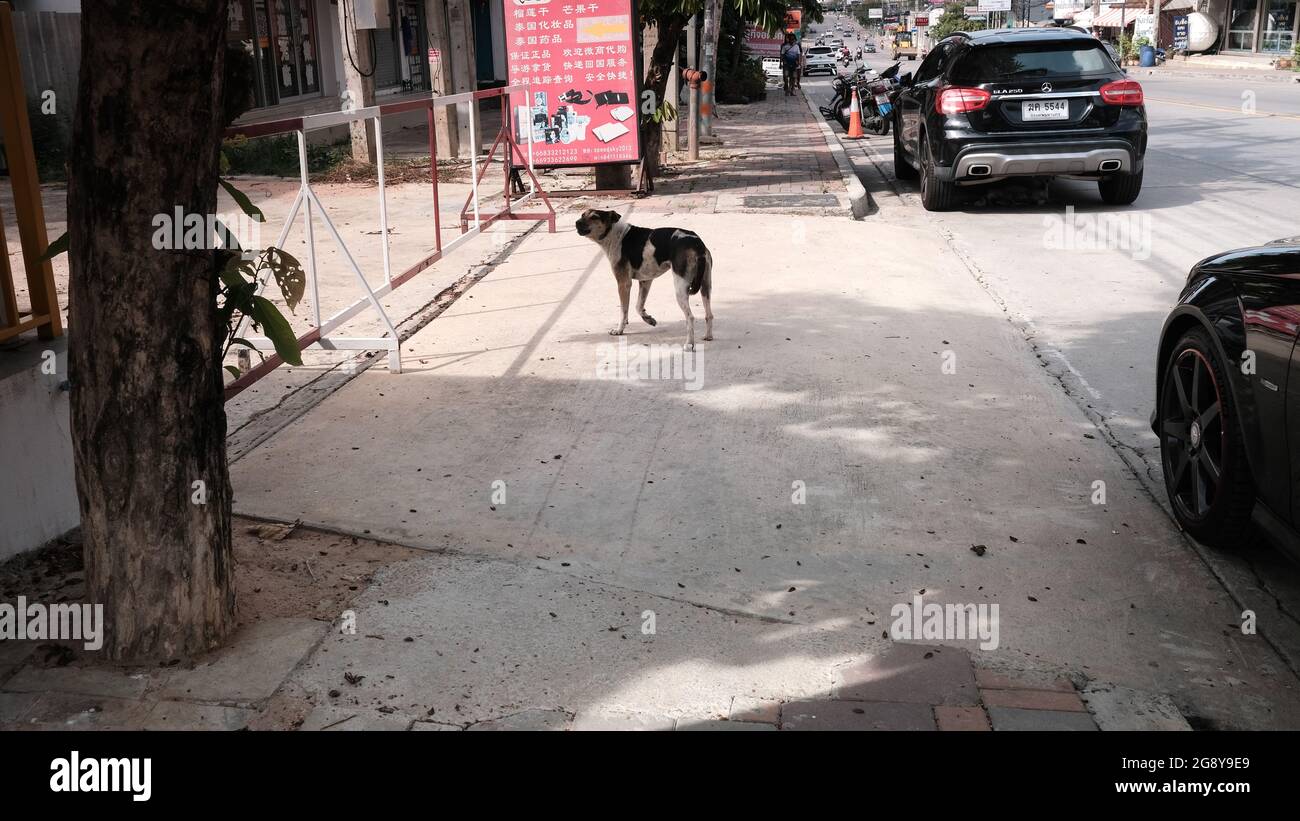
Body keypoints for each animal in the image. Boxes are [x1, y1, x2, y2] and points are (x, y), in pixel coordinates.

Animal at [577, 207, 717, 350]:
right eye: (582, 215)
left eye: (594, 217)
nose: (577, 223)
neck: (614, 233)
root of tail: (697, 244)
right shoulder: (645, 280)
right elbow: (638, 306)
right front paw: (649, 319)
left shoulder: (623, 283)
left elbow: (624, 311)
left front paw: (619, 330)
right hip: (705, 286)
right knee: (709, 315)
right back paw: (708, 336)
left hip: (681, 288)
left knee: (690, 317)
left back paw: (689, 344)